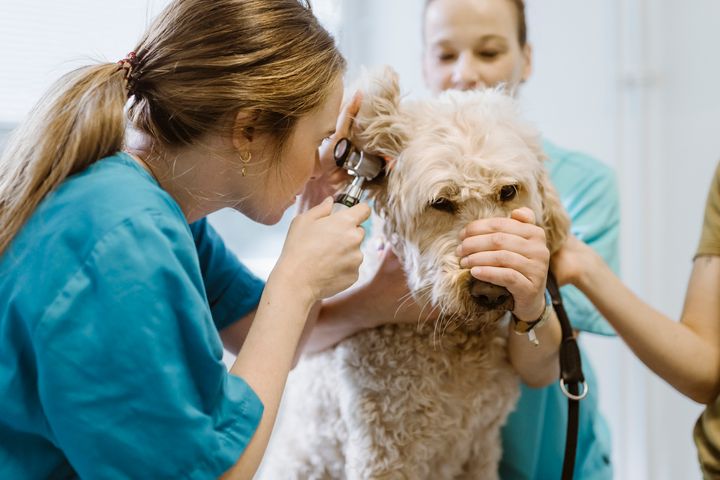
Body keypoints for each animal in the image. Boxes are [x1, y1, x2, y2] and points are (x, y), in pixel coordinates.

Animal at [258, 67, 568, 480]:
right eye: (441, 202)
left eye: (508, 191)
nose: (489, 291)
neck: (458, 343)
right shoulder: (382, 453)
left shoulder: (481, 447)